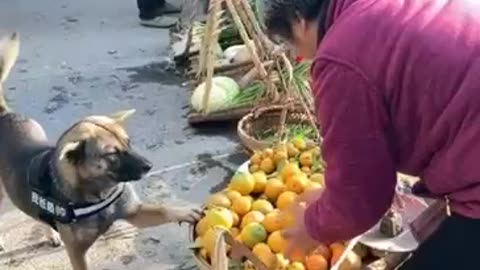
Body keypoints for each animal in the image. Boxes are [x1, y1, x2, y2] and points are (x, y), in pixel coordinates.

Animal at [0, 33, 201, 270]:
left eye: (128, 142)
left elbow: (162, 209)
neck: (98, 194)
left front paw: (184, 211)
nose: (149, 166)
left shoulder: (135, 213)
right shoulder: (77, 253)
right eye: (111, 153)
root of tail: (4, 115)